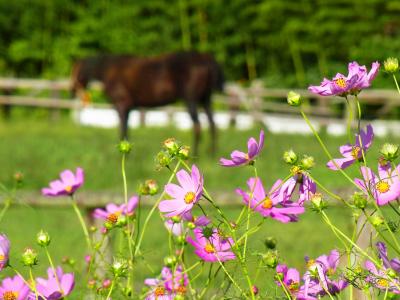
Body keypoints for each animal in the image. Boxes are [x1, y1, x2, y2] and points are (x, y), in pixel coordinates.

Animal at [72, 51, 225, 155]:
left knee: (198, 126)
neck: (108, 70)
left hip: (191, 100)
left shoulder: (122, 105)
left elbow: (123, 132)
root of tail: (205, 58)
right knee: (213, 125)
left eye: (74, 71)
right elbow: (126, 133)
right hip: (205, 100)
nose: (72, 91)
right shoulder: (128, 108)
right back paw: (212, 153)